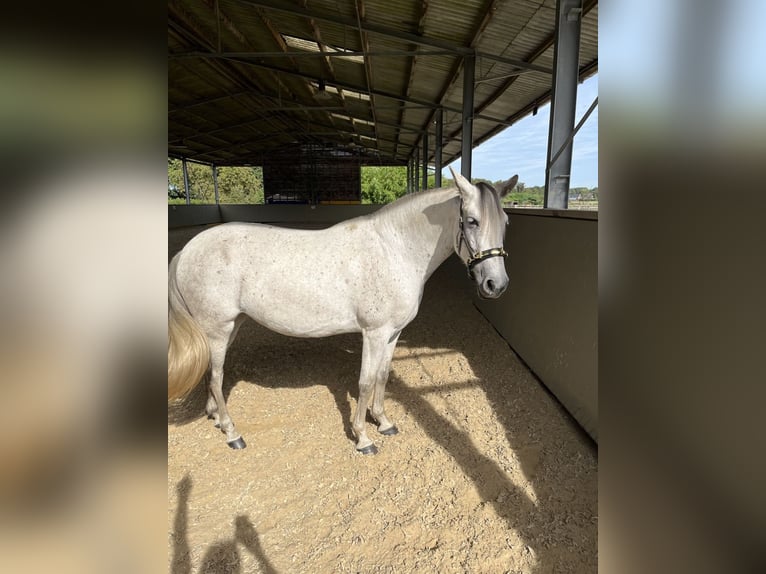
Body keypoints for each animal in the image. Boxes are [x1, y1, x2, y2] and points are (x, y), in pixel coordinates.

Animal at [167, 169, 516, 456]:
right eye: (472, 221)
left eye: (505, 222)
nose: (495, 284)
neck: (394, 250)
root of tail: (187, 250)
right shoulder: (373, 334)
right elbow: (365, 382)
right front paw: (363, 438)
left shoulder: (393, 334)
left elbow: (382, 376)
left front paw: (384, 422)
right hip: (218, 329)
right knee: (216, 377)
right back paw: (232, 433)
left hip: (231, 325)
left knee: (211, 374)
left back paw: (215, 417)